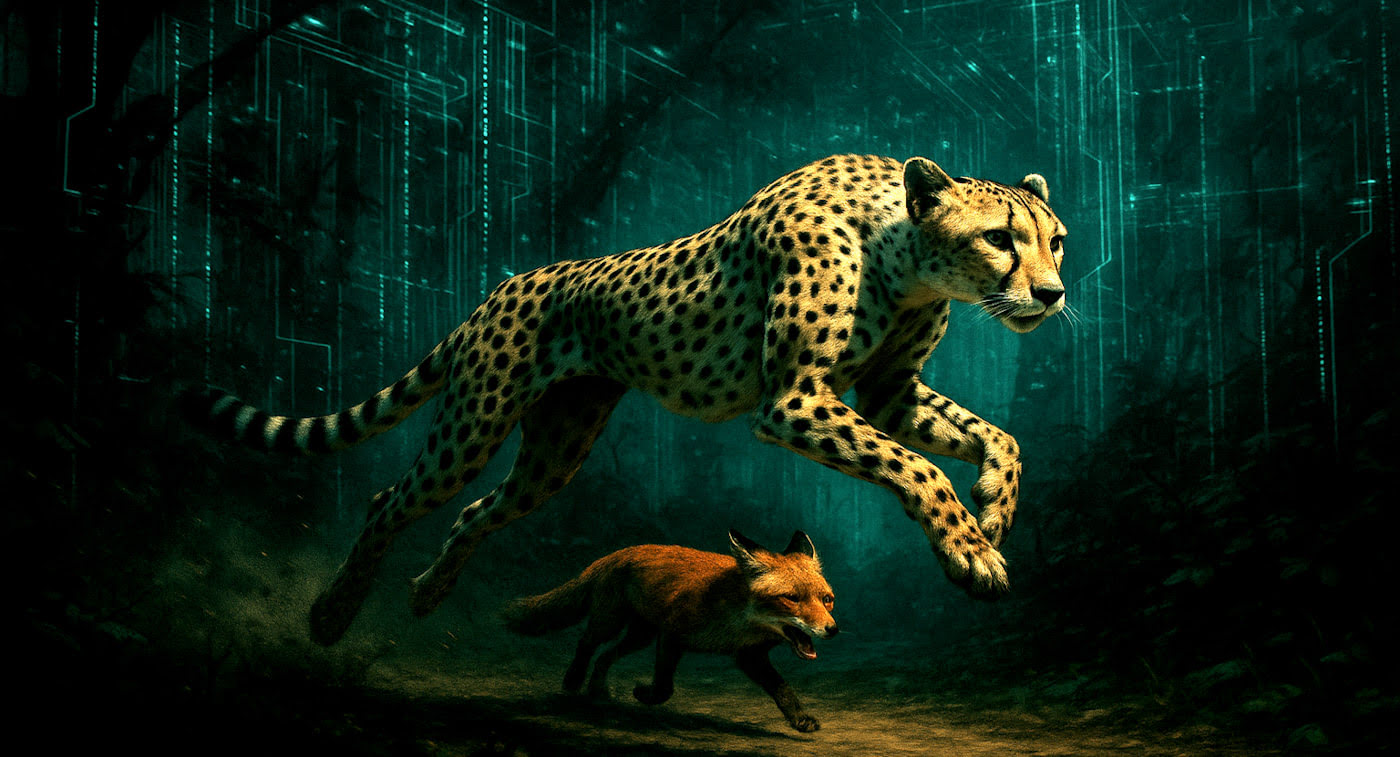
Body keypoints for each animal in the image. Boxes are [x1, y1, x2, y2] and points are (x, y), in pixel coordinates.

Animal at [503, 529, 839, 732]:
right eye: (792, 598)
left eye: (827, 599)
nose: (832, 629)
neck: (739, 620)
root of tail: (619, 552)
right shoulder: (672, 635)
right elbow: (665, 687)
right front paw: (644, 694)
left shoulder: (749, 656)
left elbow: (782, 688)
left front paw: (798, 718)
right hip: (610, 623)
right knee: (586, 643)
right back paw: (573, 680)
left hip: (640, 636)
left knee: (605, 656)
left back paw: (598, 691)